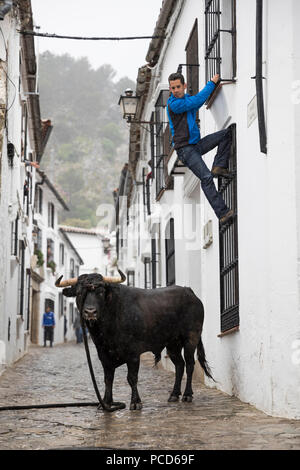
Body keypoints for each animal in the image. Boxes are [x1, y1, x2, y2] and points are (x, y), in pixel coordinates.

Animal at [59, 274, 213, 410]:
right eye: (79, 293)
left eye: (101, 292)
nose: (90, 312)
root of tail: (189, 292)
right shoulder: (104, 356)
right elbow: (108, 379)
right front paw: (106, 403)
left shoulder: (132, 354)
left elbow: (132, 378)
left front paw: (135, 402)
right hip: (172, 344)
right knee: (180, 365)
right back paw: (174, 395)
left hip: (191, 338)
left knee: (190, 364)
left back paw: (187, 395)